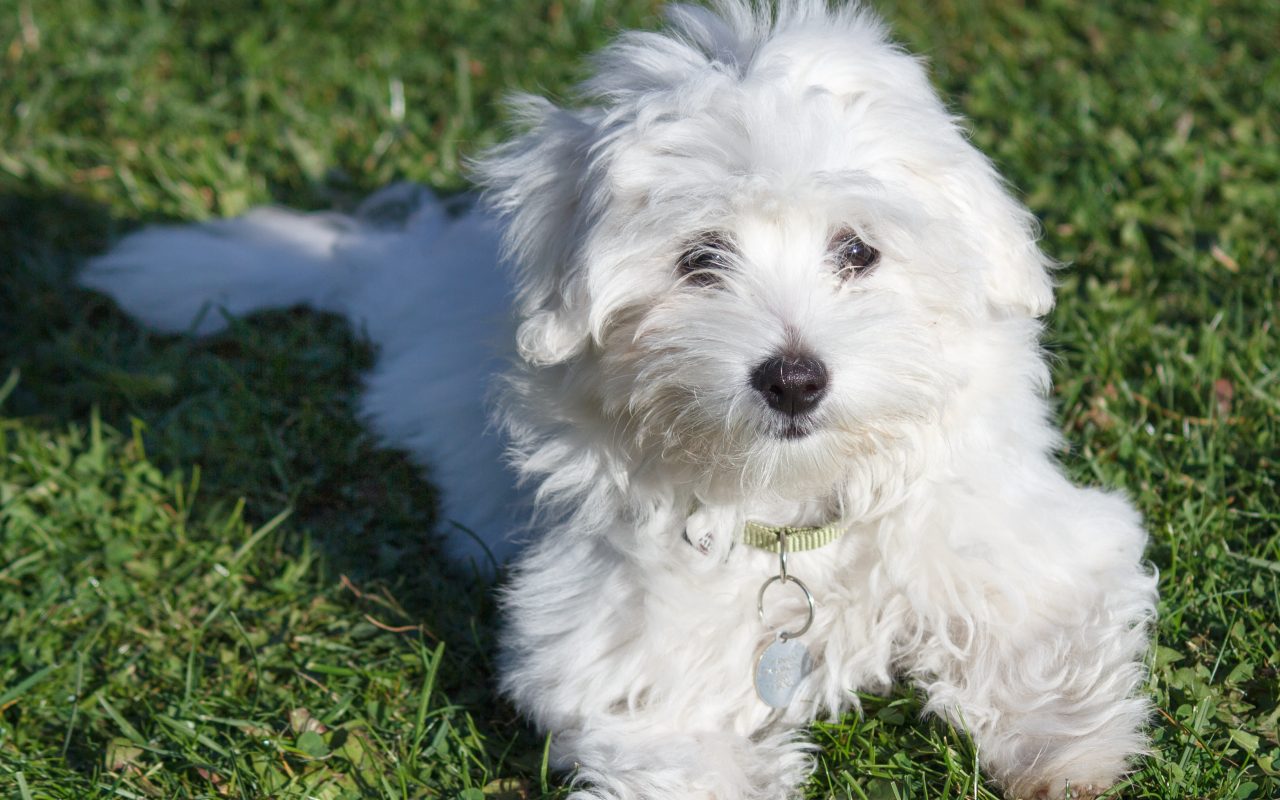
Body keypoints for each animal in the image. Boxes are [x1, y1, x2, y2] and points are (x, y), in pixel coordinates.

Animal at [80, 1, 1162, 798]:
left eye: (858, 250)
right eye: (699, 260)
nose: (793, 376)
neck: (790, 504)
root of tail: (405, 267)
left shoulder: (1010, 536)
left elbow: (1043, 631)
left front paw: (1065, 755)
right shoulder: (630, 653)